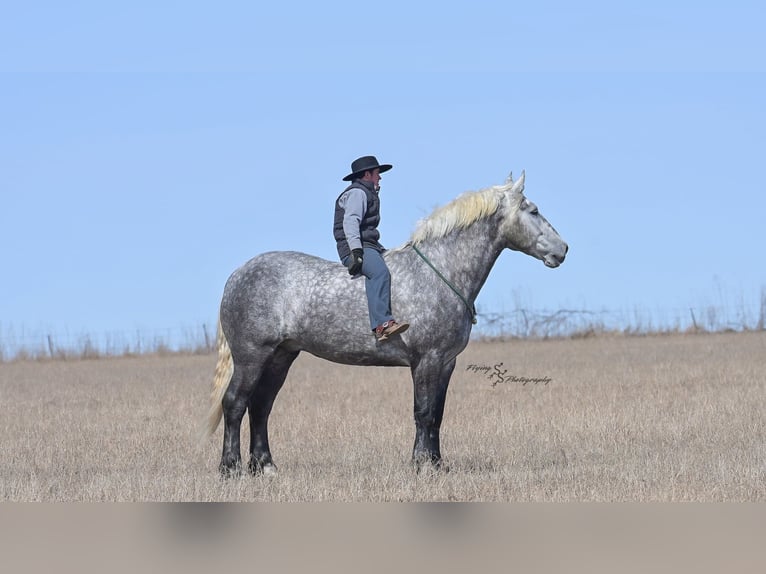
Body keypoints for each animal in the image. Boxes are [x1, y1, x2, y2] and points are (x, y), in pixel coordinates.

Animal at [203, 171, 568, 475]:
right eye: (533, 210)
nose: (563, 249)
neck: (440, 270)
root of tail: (238, 275)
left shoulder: (446, 362)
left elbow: (437, 414)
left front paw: (437, 464)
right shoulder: (427, 360)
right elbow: (423, 412)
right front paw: (422, 466)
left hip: (281, 356)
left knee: (261, 406)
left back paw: (265, 467)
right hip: (252, 356)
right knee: (235, 404)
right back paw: (230, 468)